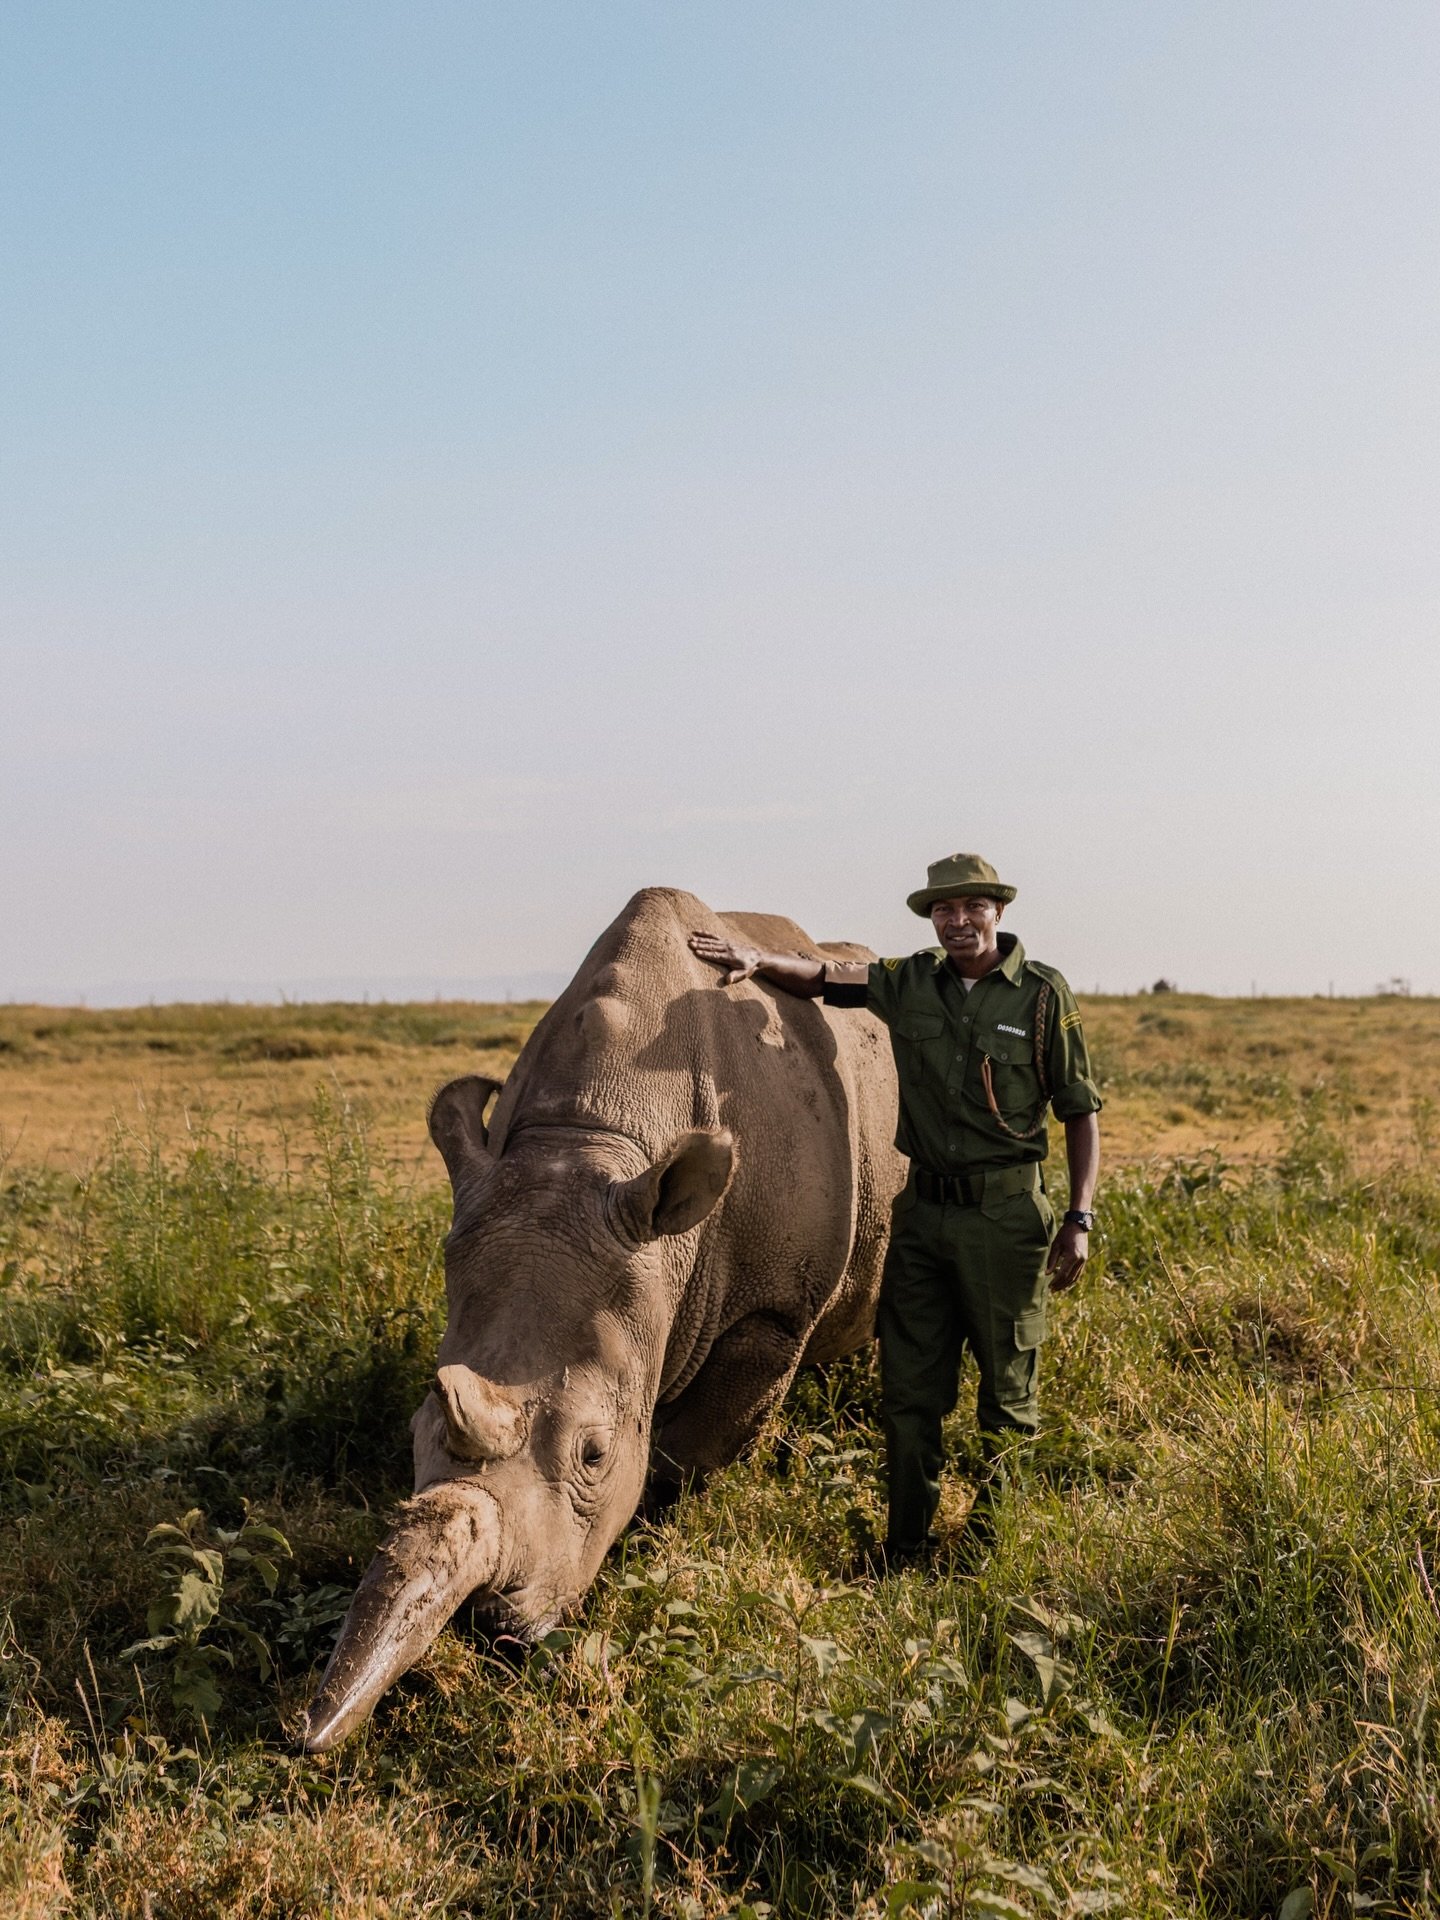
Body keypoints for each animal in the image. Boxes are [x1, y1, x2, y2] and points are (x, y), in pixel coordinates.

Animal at [302, 887, 903, 1752]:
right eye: (415, 1430)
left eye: (594, 1453)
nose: (489, 1628)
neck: (595, 1142)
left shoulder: (770, 1310)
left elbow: (685, 1459)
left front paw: (652, 1542)